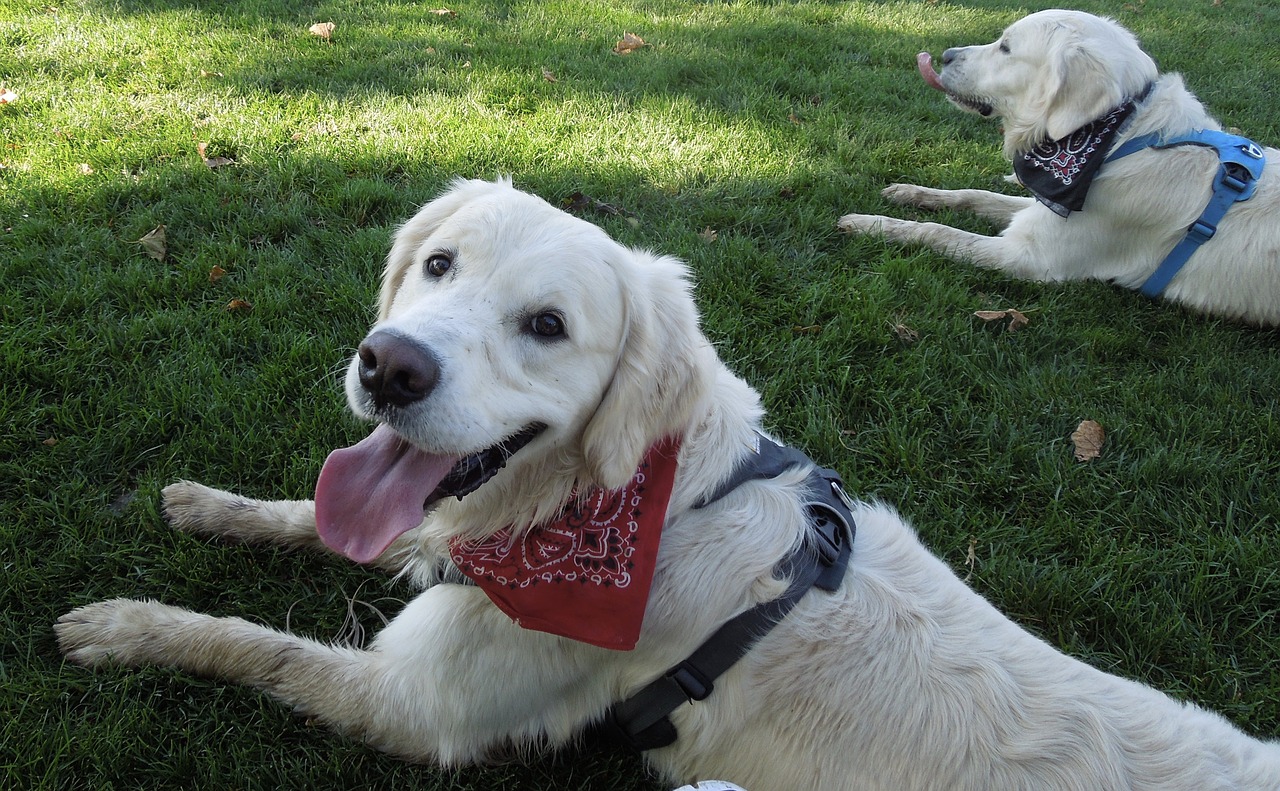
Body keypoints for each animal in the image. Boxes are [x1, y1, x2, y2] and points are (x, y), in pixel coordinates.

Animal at [57, 179, 1280, 788]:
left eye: (547, 327)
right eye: (438, 264)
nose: (387, 364)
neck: (634, 506)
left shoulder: (417, 706)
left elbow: (244, 641)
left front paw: (121, 622)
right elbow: (322, 519)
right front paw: (207, 505)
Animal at [839, 9, 1280, 323]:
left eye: (1006, 47)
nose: (945, 55)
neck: (1117, 139)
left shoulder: (1029, 257)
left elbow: (937, 232)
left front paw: (867, 223)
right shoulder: (1042, 207)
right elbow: (974, 195)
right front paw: (910, 193)